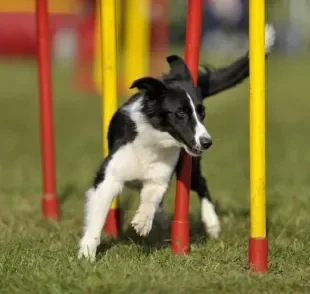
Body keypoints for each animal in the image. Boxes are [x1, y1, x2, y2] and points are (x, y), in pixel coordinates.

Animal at [78, 24, 274, 260]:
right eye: (180, 113)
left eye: (202, 113)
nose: (207, 142)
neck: (155, 143)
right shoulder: (109, 176)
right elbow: (97, 215)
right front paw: (87, 253)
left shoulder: (160, 176)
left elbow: (152, 196)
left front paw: (142, 221)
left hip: (192, 167)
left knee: (201, 184)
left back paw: (211, 224)